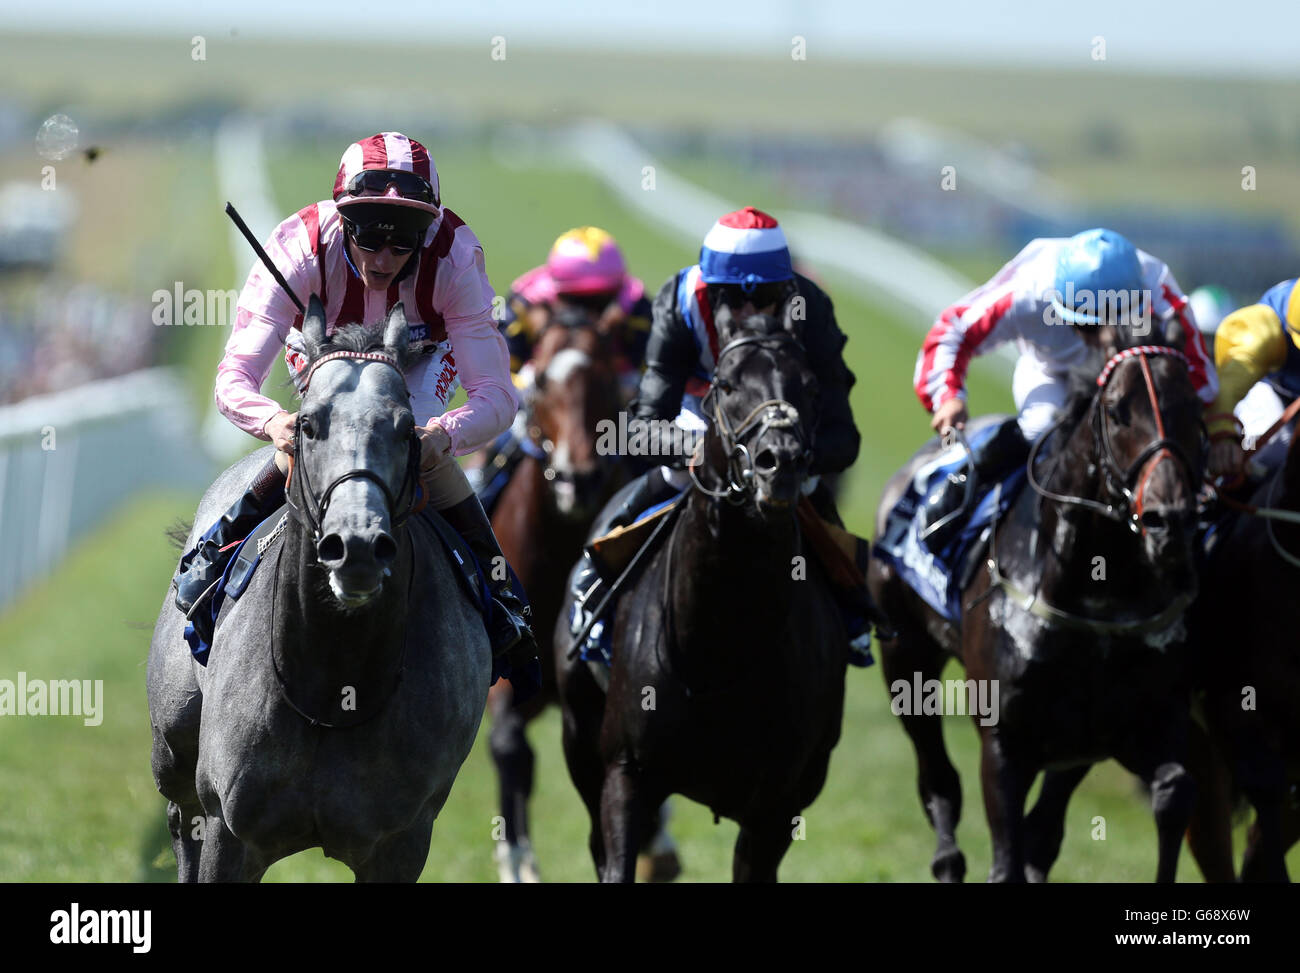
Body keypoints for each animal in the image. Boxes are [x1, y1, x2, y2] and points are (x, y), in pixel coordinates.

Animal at [146, 301, 491, 879]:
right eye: (307, 424)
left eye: (408, 430)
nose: (357, 546)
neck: (332, 686)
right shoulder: (228, 828)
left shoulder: (401, 843)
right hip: (172, 749)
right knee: (179, 817)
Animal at [553, 301, 847, 879]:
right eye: (727, 384)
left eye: (810, 386)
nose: (779, 462)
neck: (715, 645)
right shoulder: (625, 771)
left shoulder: (775, 805)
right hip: (579, 737)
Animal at [868, 326, 1211, 879]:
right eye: (1117, 410)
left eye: (1193, 409)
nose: (1170, 520)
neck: (1095, 592)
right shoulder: (1005, 742)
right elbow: (1005, 855)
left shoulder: (1131, 724)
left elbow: (1175, 793)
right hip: (905, 656)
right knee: (938, 779)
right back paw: (947, 859)